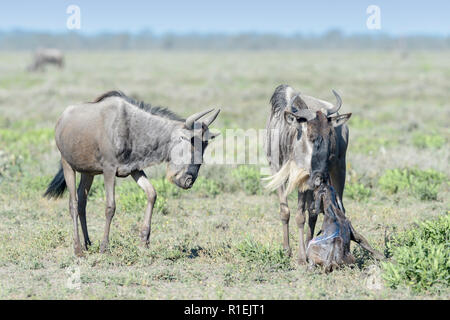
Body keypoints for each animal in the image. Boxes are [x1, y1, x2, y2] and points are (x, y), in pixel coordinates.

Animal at [44, 91, 221, 256]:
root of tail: (61, 120)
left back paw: (88, 244)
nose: (188, 181)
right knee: (73, 204)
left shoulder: (134, 168)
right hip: (68, 165)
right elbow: (110, 206)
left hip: (88, 172)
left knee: (82, 202)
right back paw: (78, 249)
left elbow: (152, 194)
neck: (133, 128)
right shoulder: (109, 170)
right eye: (188, 142)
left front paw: (144, 241)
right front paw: (104, 247)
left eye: (205, 147)